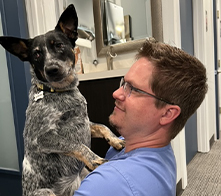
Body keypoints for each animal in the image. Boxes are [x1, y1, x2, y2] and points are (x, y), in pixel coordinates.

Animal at [0, 4, 124, 196]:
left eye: (59, 45)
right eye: (36, 55)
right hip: (45, 193)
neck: (61, 91)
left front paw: (115, 139)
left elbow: (102, 126)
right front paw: (96, 159)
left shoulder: (86, 123)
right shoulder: (41, 138)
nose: (52, 69)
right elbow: (76, 144)